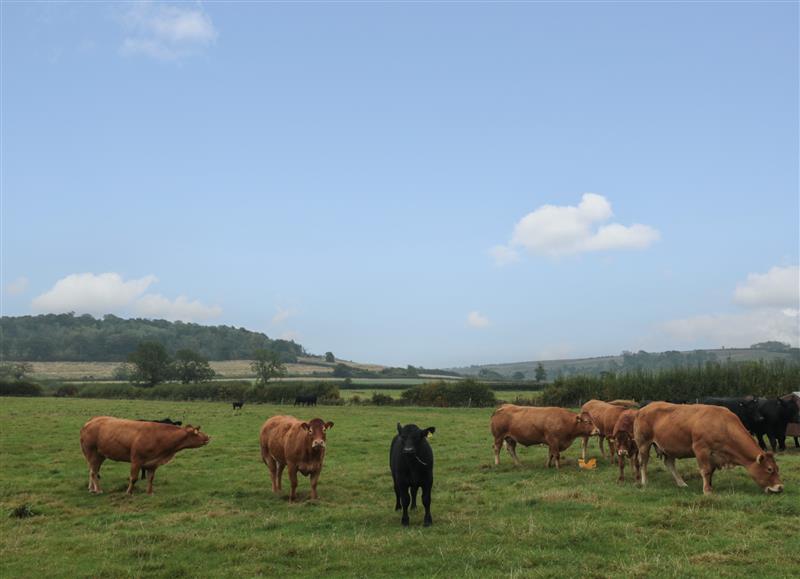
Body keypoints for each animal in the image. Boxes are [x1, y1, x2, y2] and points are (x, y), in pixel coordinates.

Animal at [80, 416, 211, 494]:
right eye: (197, 433)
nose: (208, 437)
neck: (159, 436)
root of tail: (90, 422)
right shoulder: (136, 460)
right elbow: (133, 478)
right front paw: (129, 492)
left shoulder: (153, 463)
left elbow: (150, 478)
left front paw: (150, 492)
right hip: (92, 453)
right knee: (93, 472)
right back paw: (98, 490)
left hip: (100, 455)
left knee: (92, 471)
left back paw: (91, 488)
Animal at [636, 406, 784, 496]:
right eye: (769, 469)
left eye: (778, 468)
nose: (780, 487)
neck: (723, 424)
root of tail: (643, 409)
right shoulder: (701, 449)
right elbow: (706, 471)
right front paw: (707, 491)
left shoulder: (713, 455)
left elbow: (711, 471)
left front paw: (710, 487)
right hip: (644, 444)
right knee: (643, 462)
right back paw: (644, 481)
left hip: (669, 447)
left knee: (669, 463)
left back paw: (681, 483)